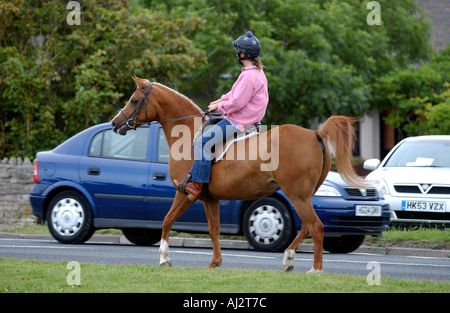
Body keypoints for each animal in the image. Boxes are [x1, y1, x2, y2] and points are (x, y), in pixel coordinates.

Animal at [110, 74, 366, 272]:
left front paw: (164, 258)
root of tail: (315, 133)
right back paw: (288, 259)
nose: (114, 123)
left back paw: (315, 269)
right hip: (304, 196)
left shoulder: (185, 194)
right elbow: (214, 230)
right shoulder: (210, 199)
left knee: (316, 227)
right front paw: (215, 262)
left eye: (134, 100)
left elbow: (166, 221)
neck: (188, 133)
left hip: (297, 196)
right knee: (306, 227)